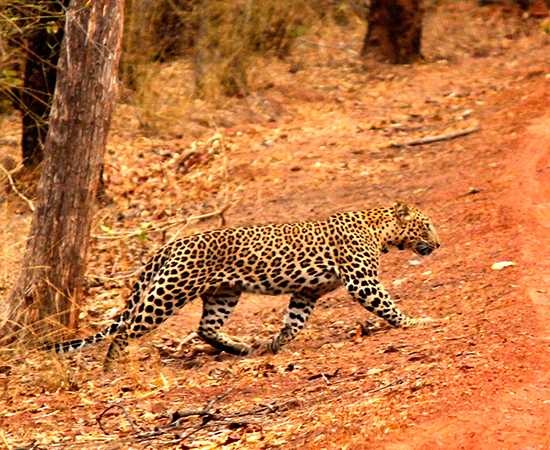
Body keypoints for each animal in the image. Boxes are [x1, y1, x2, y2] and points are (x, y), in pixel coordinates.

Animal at [47, 201, 444, 370]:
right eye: (426, 226)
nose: (438, 245)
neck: (380, 230)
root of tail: (171, 245)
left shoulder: (306, 292)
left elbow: (295, 322)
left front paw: (276, 344)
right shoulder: (362, 281)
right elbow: (388, 305)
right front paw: (418, 322)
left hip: (223, 293)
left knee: (205, 328)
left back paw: (238, 348)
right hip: (170, 292)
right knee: (126, 329)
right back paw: (112, 368)